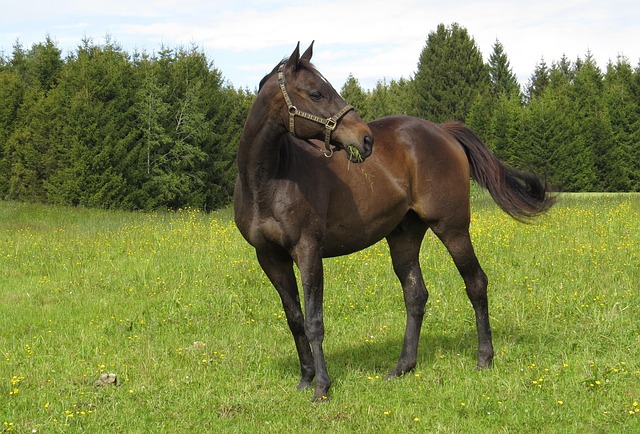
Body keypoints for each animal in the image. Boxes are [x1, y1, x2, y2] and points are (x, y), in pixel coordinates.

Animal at [233, 42, 554, 401]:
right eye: (316, 93)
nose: (365, 139)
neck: (269, 180)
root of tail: (443, 131)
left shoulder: (308, 252)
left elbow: (315, 321)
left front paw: (321, 387)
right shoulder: (270, 258)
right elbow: (295, 318)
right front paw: (305, 379)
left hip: (453, 229)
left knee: (476, 283)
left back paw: (484, 358)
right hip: (404, 235)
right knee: (416, 295)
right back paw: (403, 366)